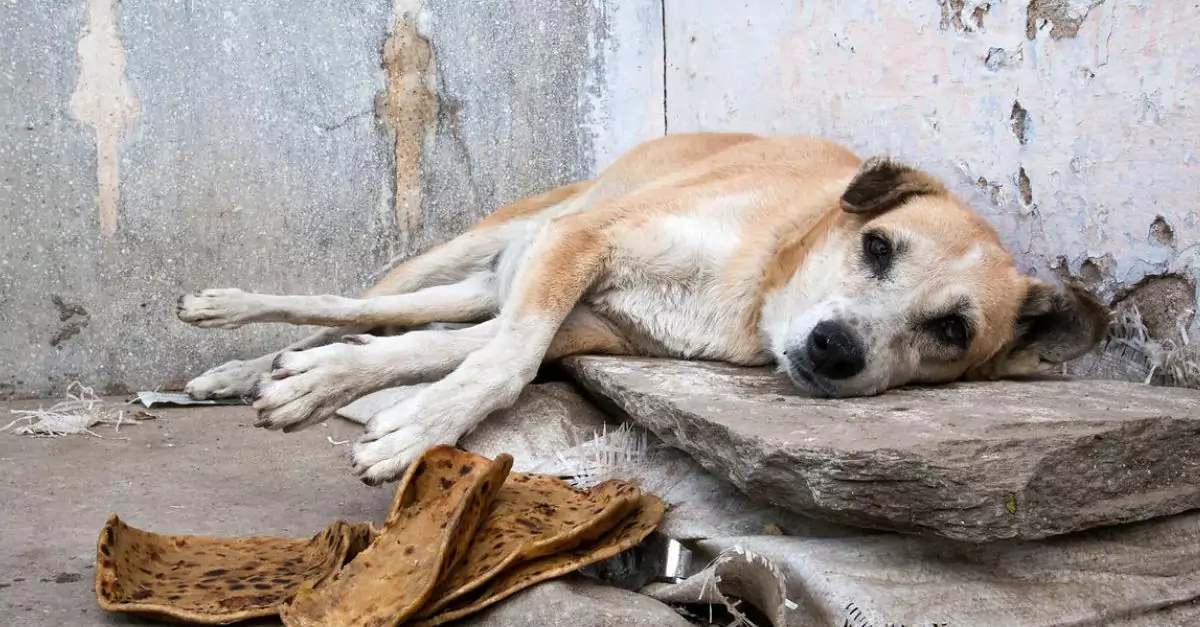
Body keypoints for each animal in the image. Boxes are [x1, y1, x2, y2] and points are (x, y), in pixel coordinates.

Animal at [175, 131, 1104, 482]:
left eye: (952, 329)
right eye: (879, 247)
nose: (836, 349)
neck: (758, 281)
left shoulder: (581, 319)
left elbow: (486, 354)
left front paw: (387, 407)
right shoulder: (584, 239)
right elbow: (502, 360)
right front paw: (412, 427)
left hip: (486, 282)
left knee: (390, 324)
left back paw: (280, 368)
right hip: (484, 244)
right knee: (349, 300)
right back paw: (227, 331)